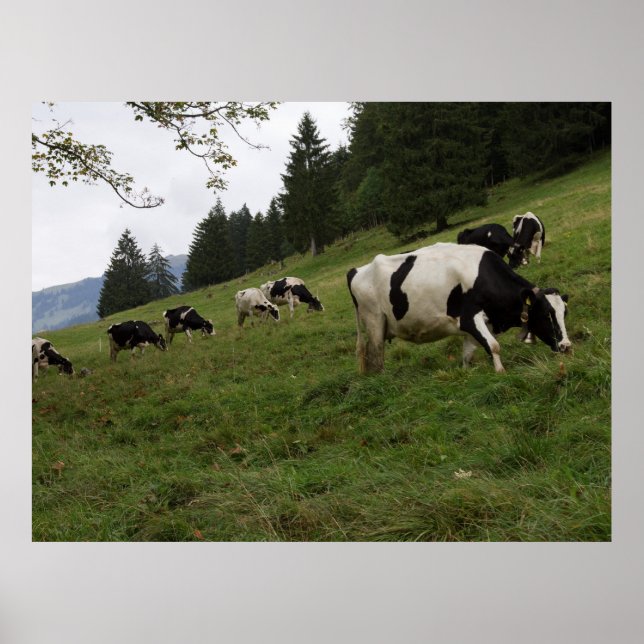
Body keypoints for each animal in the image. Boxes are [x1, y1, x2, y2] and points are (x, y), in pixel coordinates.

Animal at [346, 242, 570, 375]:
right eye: (546, 314)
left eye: (564, 313)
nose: (567, 346)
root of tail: (356, 270)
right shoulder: (469, 317)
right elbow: (493, 346)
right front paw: (501, 372)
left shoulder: (475, 326)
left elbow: (468, 354)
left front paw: (466, 373)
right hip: (375, 321)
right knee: (376, 355)